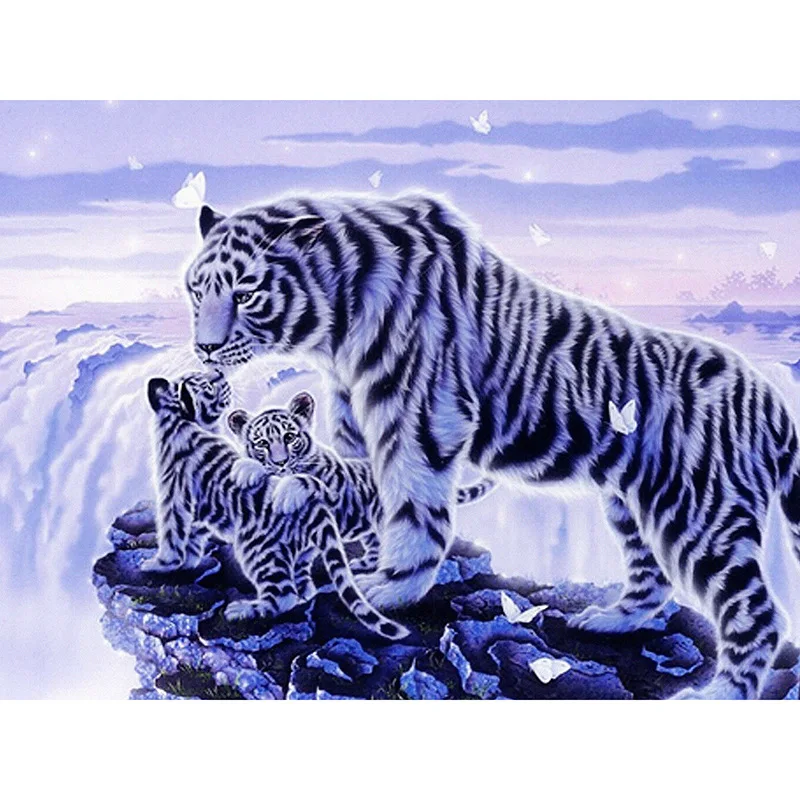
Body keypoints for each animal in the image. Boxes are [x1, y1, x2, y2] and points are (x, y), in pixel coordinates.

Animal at [144, 369, 408, 639]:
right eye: (262, 443)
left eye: (289, 437)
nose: (219, 373)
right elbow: (193, 535)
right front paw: (187, 561)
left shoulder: (173, 495)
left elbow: (172, 533)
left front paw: (160, 564)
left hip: (257, 550)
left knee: (283, 595)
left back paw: (242, 610)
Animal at [225, 390, 497, 575]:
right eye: (262, 443)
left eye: (290, 437)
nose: (280, 462)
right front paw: (245, 469)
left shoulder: (336, 492)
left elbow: (308, 480)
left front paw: (287, 493)